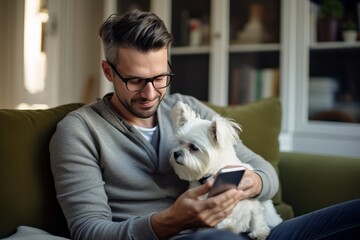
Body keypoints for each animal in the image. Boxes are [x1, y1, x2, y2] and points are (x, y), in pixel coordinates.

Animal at [170, 101, 282, 240]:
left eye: (194, 147)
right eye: (180, 142)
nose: (176, 153)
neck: (212, 174)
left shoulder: (252, 202)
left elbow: (256, 216)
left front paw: (259, 232)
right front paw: (227, 227)